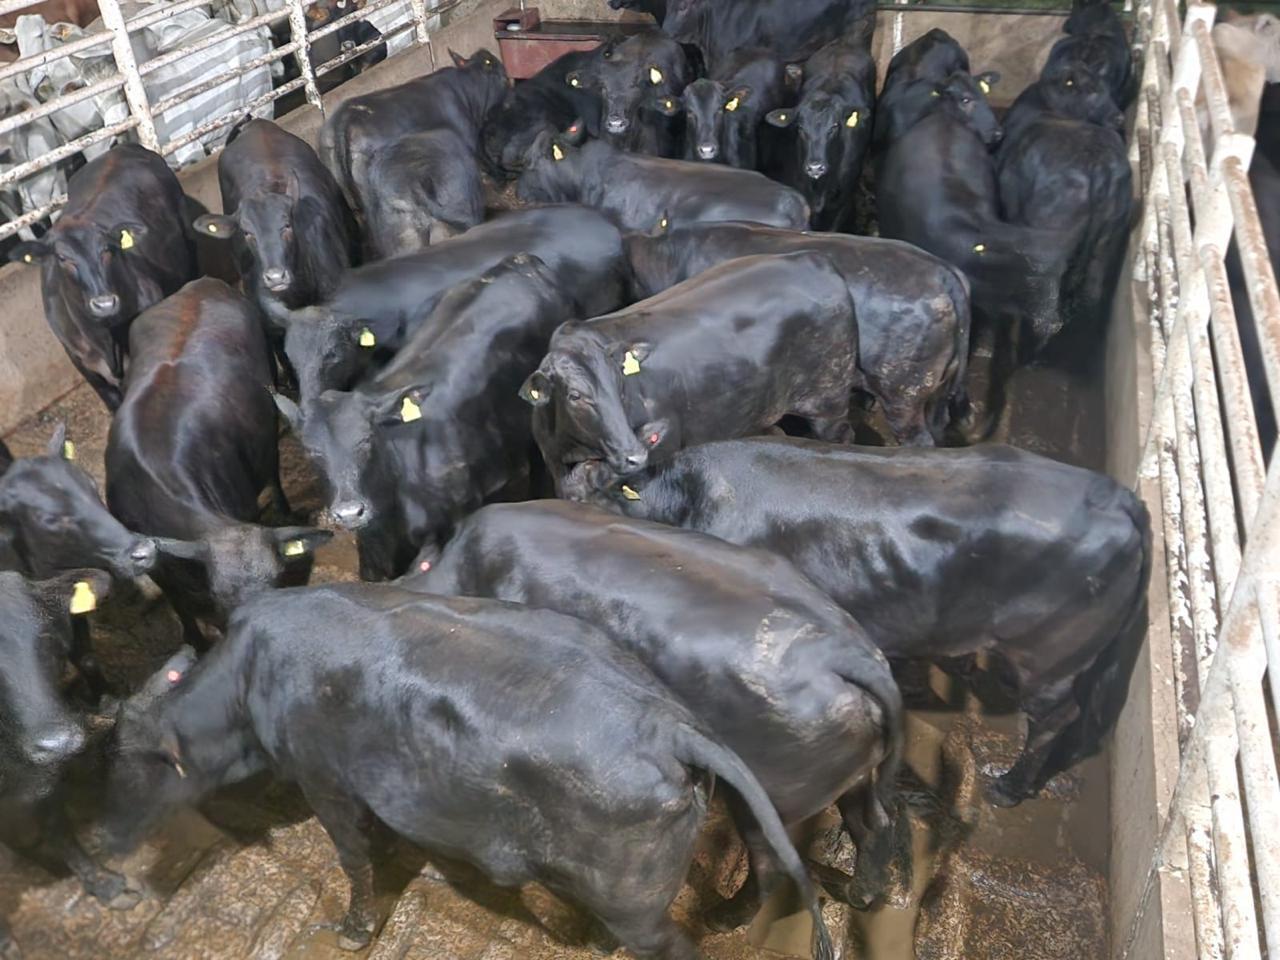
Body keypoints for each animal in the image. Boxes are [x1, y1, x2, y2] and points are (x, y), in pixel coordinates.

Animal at [7, 145, 197, 410]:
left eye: (107, 249)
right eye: (62, 258)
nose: (105, 303)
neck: (103, 338)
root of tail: (123, 148)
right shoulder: (87, 370)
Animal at [103, 583, 836, 960]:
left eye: (137, 768)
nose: (104, 842)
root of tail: (666, 721)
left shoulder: (324, 779)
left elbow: (353, 860)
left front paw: (354, 929)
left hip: (636, 903)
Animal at [105, 278, 330, 647]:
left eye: (278, 579)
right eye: (220, 594)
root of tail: (201, 284)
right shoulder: (159, 570)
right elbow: (181, 609)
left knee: (272, 466)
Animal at [406, 500, 904, 916]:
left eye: (423, 565)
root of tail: (847, 655)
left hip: (775, 792)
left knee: (773, 867)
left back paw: (717, 919)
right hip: (853, 770)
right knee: (874, 822)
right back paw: (860, 897)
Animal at [997, 64, 1131, 346]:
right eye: (1091, 90)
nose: (1119, 118)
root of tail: (1099, 164)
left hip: (1047, 250)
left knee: (1046, 317)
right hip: (1107, 242)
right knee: (1092, 295)